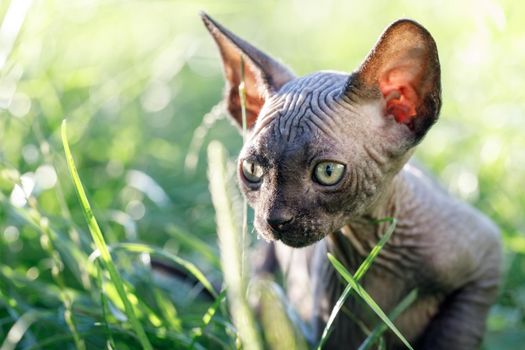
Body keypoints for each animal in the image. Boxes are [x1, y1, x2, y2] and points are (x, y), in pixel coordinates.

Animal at [203, 12, 502, 348]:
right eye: (252, 169)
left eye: (328, 172)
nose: (275, 219)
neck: (372, 243)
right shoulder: (331, 334)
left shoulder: (486, 266)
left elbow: (453, 334)